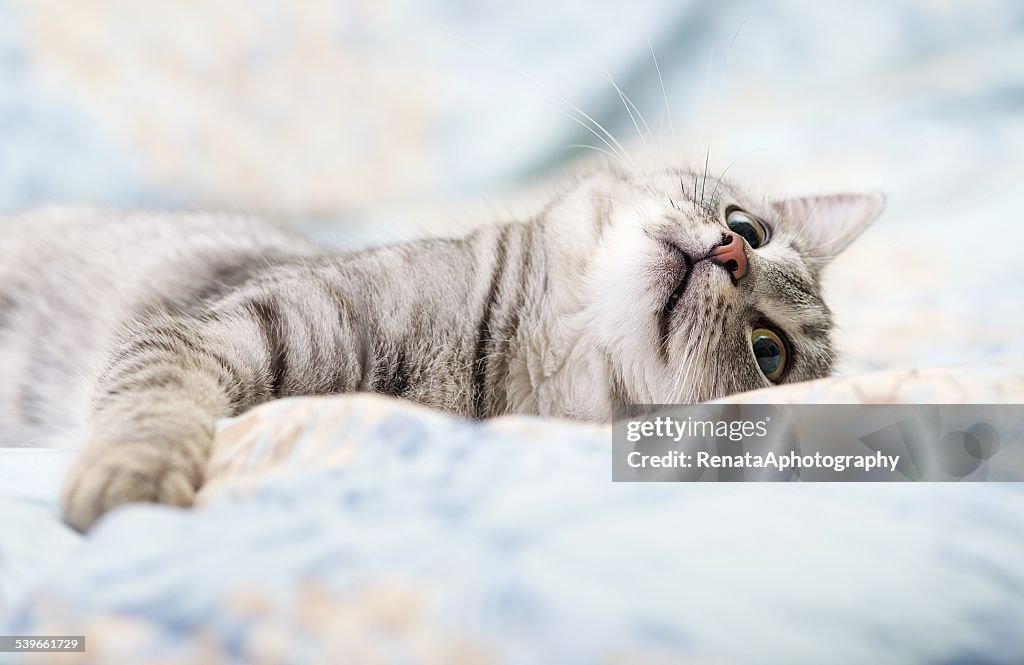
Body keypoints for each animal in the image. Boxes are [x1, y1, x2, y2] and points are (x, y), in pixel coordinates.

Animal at [0, 165, 884, 528]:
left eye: (769, 354)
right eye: (749, 228)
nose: (730, 254)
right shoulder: (212, 328)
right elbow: (155, 405)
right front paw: (133, 474)